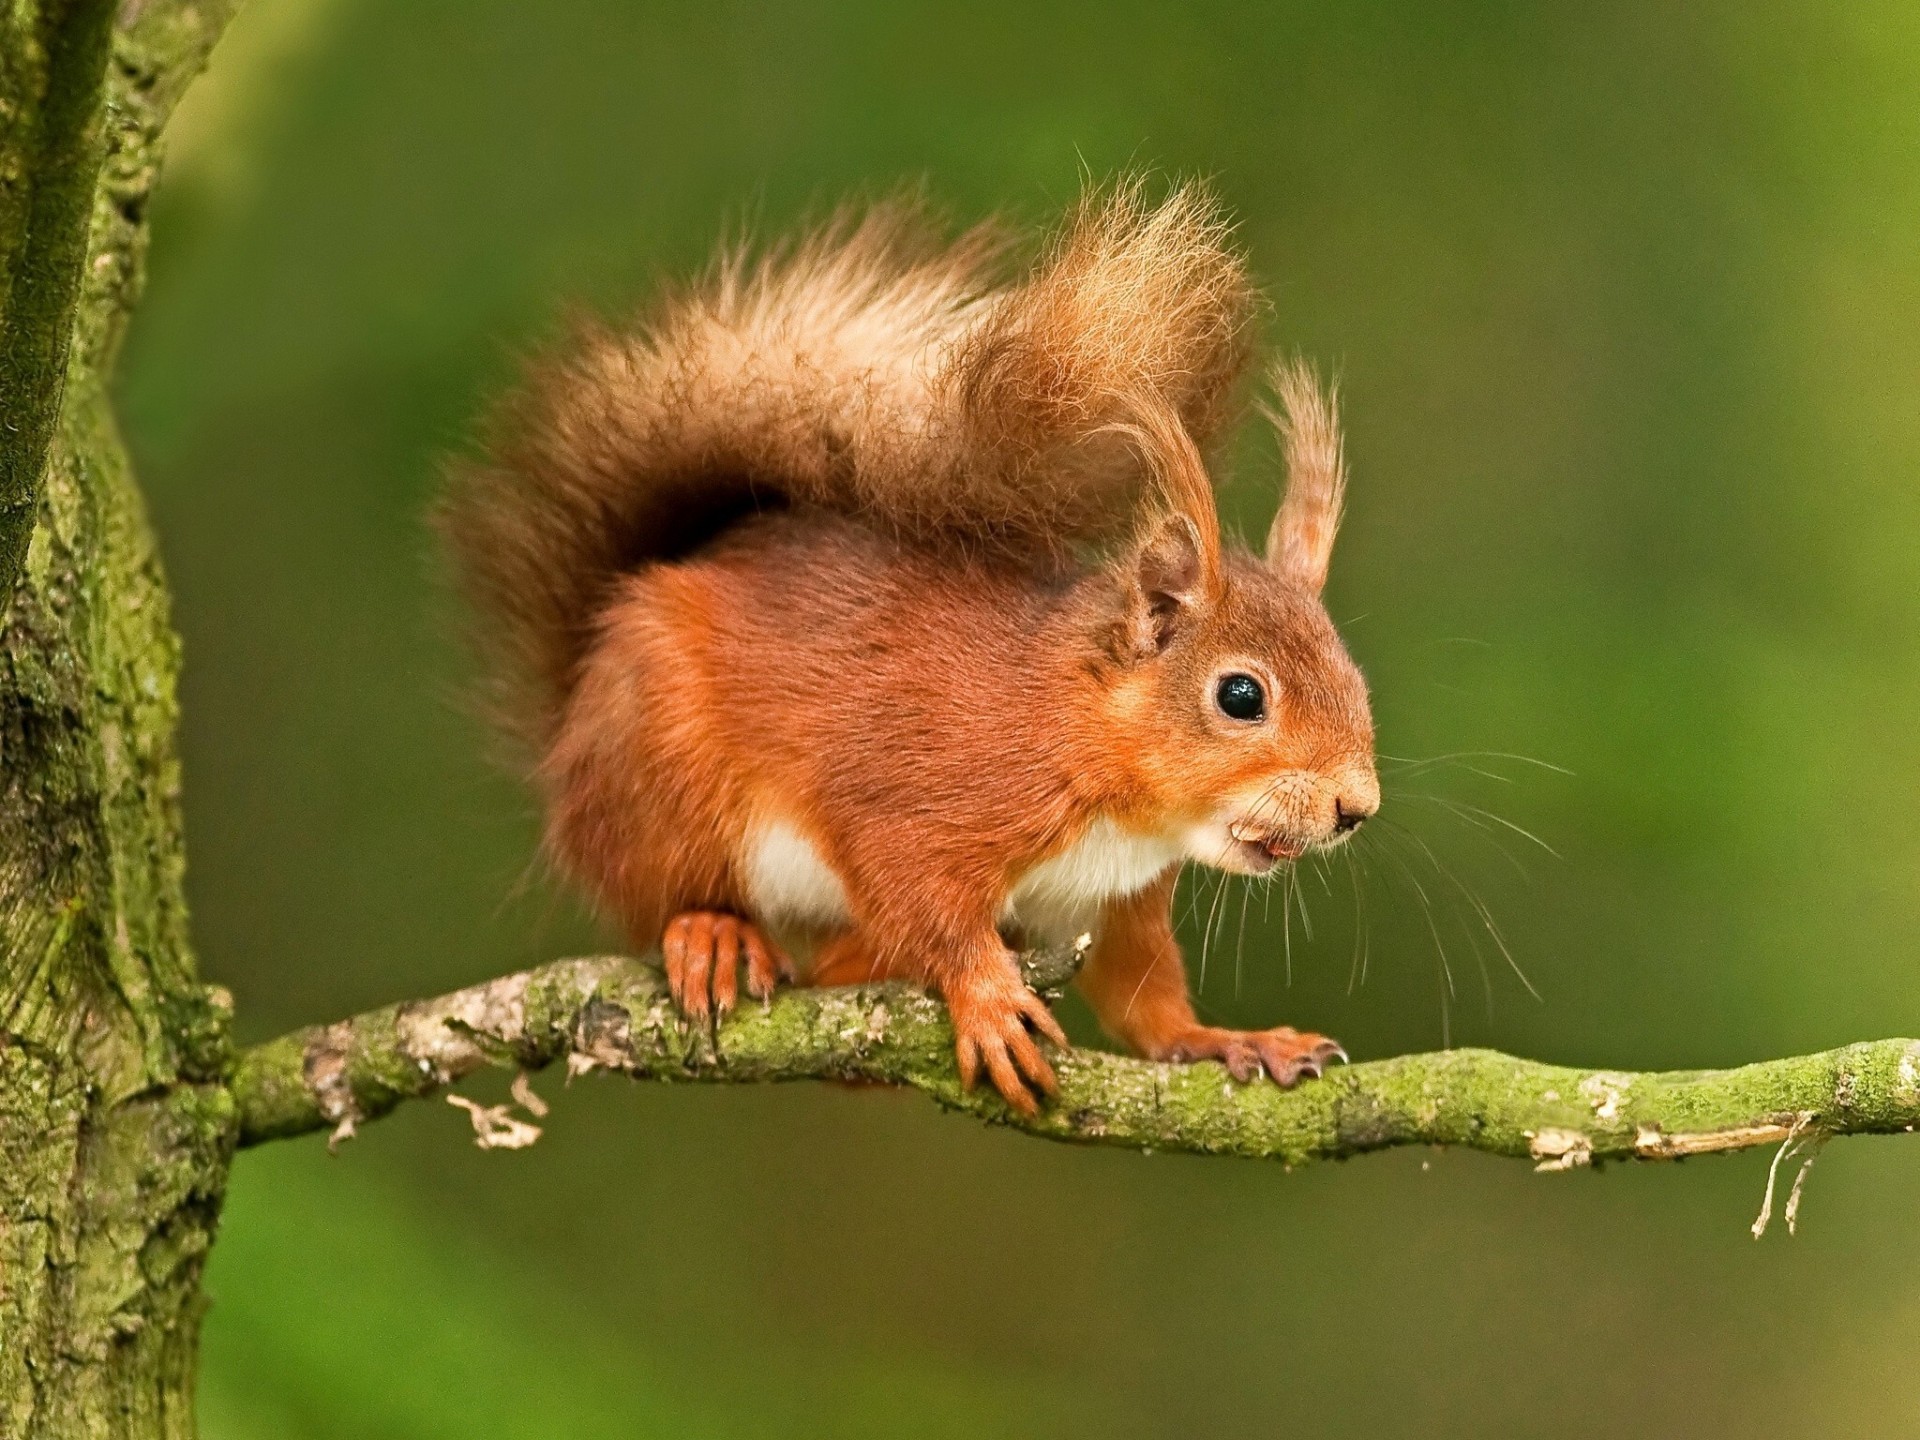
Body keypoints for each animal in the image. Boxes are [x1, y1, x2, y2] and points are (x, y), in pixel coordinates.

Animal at [441, 180, 1382, 1113]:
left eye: (1355, 680)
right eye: (1240, 696)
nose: (1356, 808)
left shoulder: (1114, 903)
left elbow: (1145, 1002)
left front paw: (1230, 1040)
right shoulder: (926, 796)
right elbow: (919, 897)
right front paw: (987, 996)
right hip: (660, 773)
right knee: (668, 895)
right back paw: (713, 933)